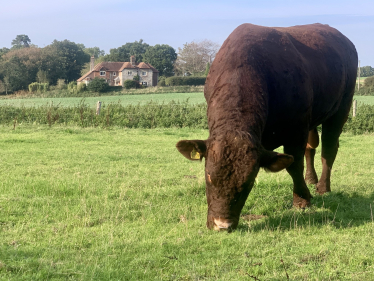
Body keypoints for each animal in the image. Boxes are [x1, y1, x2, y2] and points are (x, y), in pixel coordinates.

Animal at [177, 23, 358, 230]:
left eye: (248, 183)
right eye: (208, 176)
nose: (222, 224)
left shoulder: (296, 130)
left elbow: (294, 165)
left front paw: (302, 199)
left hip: (341, 108)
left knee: (328, 149)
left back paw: (322, 187)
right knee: (311, 148)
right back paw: (311, 179)